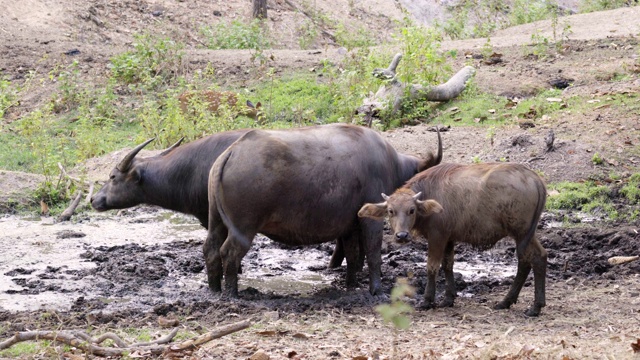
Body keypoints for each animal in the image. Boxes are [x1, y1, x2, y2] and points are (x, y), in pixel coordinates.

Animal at [208, 122, 442, 296]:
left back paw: (214, 289)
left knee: (210, 249)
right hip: (243, 228)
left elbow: (352, 255)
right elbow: (373, 252)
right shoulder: (371, 220)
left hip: (216, 222)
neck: (391, 164)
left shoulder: (350, 226)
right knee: (229, 252)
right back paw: (231, 293)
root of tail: (232, 151)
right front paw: (376, 290)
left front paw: (351, 286)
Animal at [358, 163, 548, 318]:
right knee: (537, 257)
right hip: (527, 234)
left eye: (412, 210)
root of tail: (533, 177)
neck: (431, 195)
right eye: (391, 211)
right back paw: (510, 302)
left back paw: (533, 307)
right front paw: (448, 298)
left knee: (529, 259)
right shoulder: (449, 239)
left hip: (521, 233)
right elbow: (447, 265)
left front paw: (427, 300)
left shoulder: (437, 236)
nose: (402, 236)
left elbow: (432, 267)